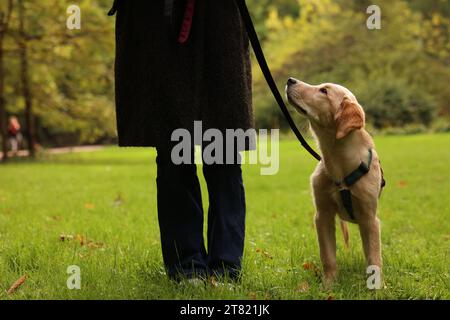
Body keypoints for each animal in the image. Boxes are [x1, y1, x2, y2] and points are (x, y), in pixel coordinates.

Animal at [286, 77, 384, 282]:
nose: (290, 80)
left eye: (324, 91)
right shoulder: (323, 215)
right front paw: (329, 284)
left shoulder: (370, 219)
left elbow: (374, 257)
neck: (340, 162)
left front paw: (378, 285)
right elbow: (328, 255)